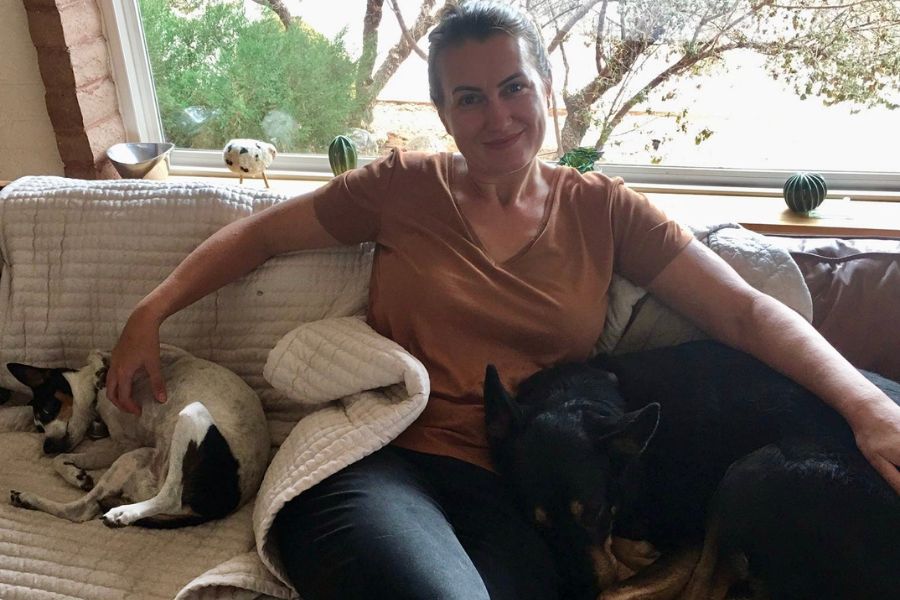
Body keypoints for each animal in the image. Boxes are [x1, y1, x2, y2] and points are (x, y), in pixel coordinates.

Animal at [7, 344, 268, 528]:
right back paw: (29, 499)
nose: (47, 446)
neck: (97, 402)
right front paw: (76, 475)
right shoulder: (121, 446)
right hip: (138, 456)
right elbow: (60, 460)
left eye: (47, 410)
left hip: (185, 416)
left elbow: (102, 353)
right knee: (83, 510)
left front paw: (100, 369)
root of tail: (216, 508)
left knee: (169, 497)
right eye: (38, 428)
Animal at [486, 340, 900, 600]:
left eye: (596, 512)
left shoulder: (691, 534)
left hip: (753, 470)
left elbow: (617, 587)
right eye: (536, 522)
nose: (580, 591)